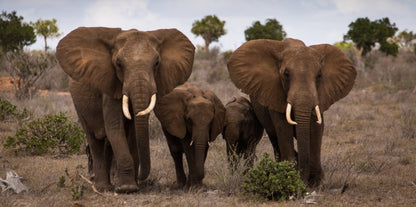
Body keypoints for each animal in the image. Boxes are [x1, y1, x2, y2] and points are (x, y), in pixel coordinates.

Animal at [54, 27, 195, 192]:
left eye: (157, 63)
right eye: (118, 63)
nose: (141, 177)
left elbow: (133, 131)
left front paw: (132, 185)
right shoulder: (110, 86)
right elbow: (115, 127)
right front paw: (127, 188)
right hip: (79, 105)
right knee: (94, 139)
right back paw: (102, 188)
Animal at [226, 38, 356, 186]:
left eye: (319, 75)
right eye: (286, 74)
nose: (304, 181)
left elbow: (316, 129)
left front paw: (316, 182)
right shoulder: (274, 94)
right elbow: (283, 128)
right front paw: (290, 176)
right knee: (275, 138)